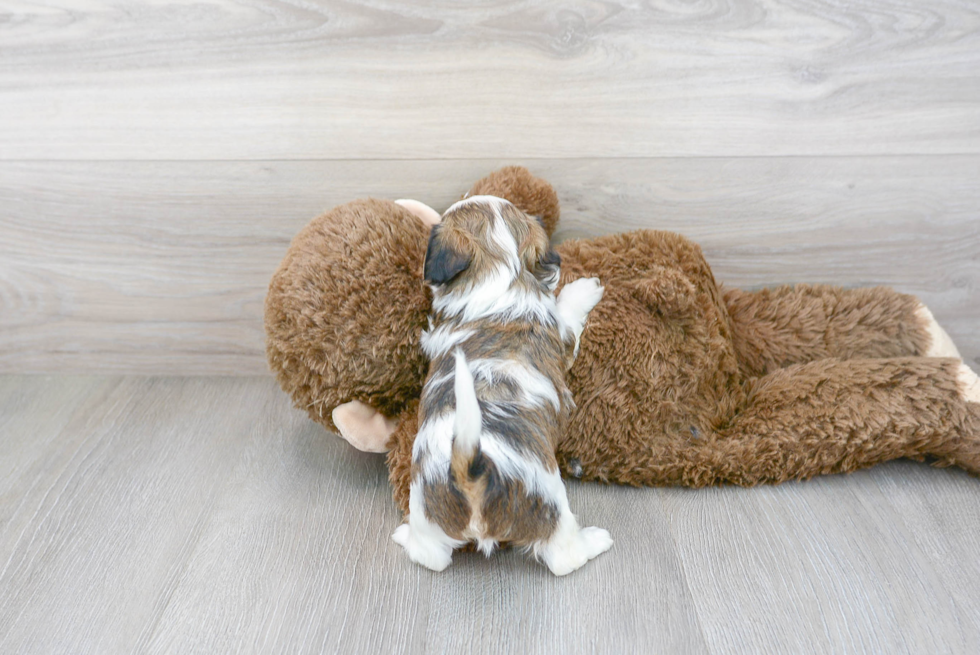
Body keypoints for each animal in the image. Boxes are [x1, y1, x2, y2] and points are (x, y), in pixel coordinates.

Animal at [392, 193, 612, 576]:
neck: (498, 273)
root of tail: (471, 473)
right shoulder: (560, 335)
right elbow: (567, 311)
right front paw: (584, 287)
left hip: (426, 511)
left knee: (429, 556)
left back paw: (405, 536)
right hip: (549, 505)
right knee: (564, 556)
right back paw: (595, 540)